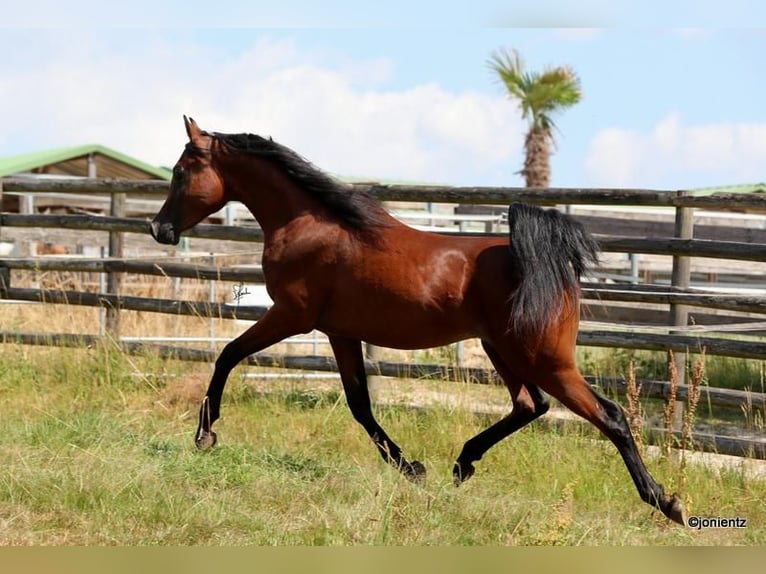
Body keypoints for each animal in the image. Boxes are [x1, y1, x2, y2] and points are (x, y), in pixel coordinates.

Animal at [150, 116, 686, 526]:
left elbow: (227, 355)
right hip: (503, 350)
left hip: (543, 358)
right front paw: (412, 468)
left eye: (180, 171)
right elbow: (360, 406)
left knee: (609, 416)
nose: (158, 228)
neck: (307, 225)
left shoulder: (291, 317)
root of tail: (550, 264)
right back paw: (462, 464)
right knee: (529, 406)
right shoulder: (340, 332)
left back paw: (667, 502)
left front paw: (205, 435)